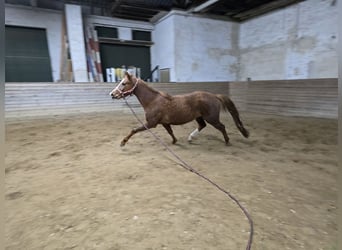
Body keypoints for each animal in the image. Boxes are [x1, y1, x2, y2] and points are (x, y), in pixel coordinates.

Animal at [110, 72, 248, 146]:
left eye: (123, 83)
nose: (112, 94)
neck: (153, 101)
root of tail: (214, 96)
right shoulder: (164, 123)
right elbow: (170, 132)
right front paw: (174, 141)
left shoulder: (151, 123)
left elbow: (134, 130)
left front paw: (123, 142)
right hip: (199, 117)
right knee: (202, 125)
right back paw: (190, 138)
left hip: (212, 118)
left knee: (222, 127)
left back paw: (227, 141)